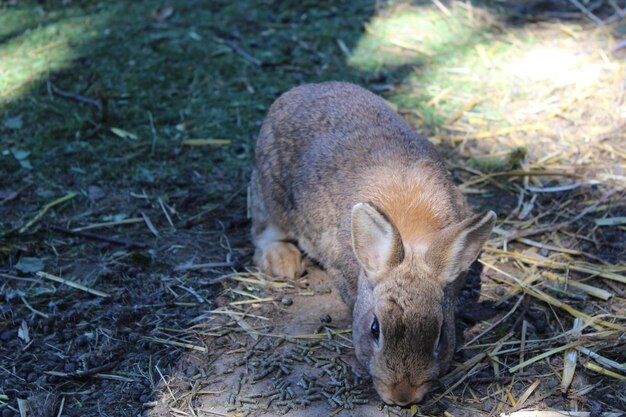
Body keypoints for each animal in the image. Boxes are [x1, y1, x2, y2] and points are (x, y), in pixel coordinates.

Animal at [247, 80, 492, 404]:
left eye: (440, 333)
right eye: (375, 329)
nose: (403, 396)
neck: (411, 240)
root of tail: (298, 92)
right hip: (271, 195)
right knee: (263, 231)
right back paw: (283, 262)